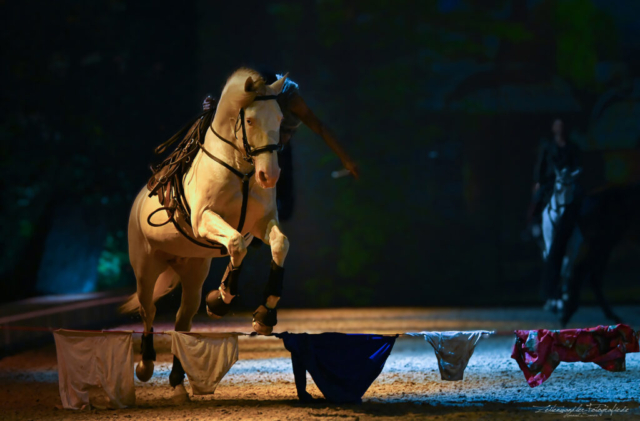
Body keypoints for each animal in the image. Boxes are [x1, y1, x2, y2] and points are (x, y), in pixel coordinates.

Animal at [120, 68, 290, 400]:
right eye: (250, 120)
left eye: (279, 118)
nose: (270, 176)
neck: (241, 170)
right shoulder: (204, 220)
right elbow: (236, 245)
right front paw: (222, 300)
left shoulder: (260, 223)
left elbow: (278, 244)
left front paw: (264, 314)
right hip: (146, 269)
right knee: (148, 313)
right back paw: (145, 366)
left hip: (193, 273)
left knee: (182, 322)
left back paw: (177, 381)